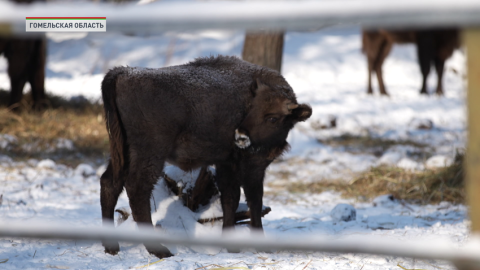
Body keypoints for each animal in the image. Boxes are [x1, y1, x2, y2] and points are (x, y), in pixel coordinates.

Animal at [100, 54, 314, 258]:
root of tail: (122, 74)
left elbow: (231, 199)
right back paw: (160, 250)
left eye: (273, 118)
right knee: (137, 189)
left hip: (120, 150)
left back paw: (112, 247)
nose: (240, 136)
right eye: (251, 109)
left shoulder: (226, 164)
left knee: (109, 183)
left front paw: (230, 246)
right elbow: (254, 200)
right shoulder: (252, 166)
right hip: (149, 153)